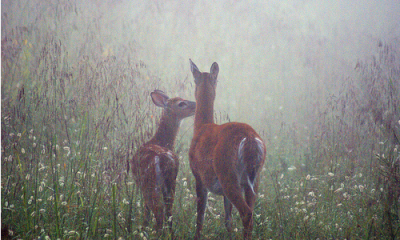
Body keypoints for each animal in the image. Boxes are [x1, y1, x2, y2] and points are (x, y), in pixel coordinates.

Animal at [132, 89, 196, 232]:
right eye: (181, 103)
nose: (196, 104)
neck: (160, 141)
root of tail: (165, 159)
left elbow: (146, 211)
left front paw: (144, 228)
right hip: (170, 182)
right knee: (169, 212)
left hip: (150, 184)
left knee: (158, 212)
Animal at [188, 60, 266, 240]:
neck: (201, 127)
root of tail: (249, 138)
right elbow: (228, 221)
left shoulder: (198, 175)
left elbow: (200, 217)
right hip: (254, 178)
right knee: (250, 212)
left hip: (226, 173)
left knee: (246, 213)